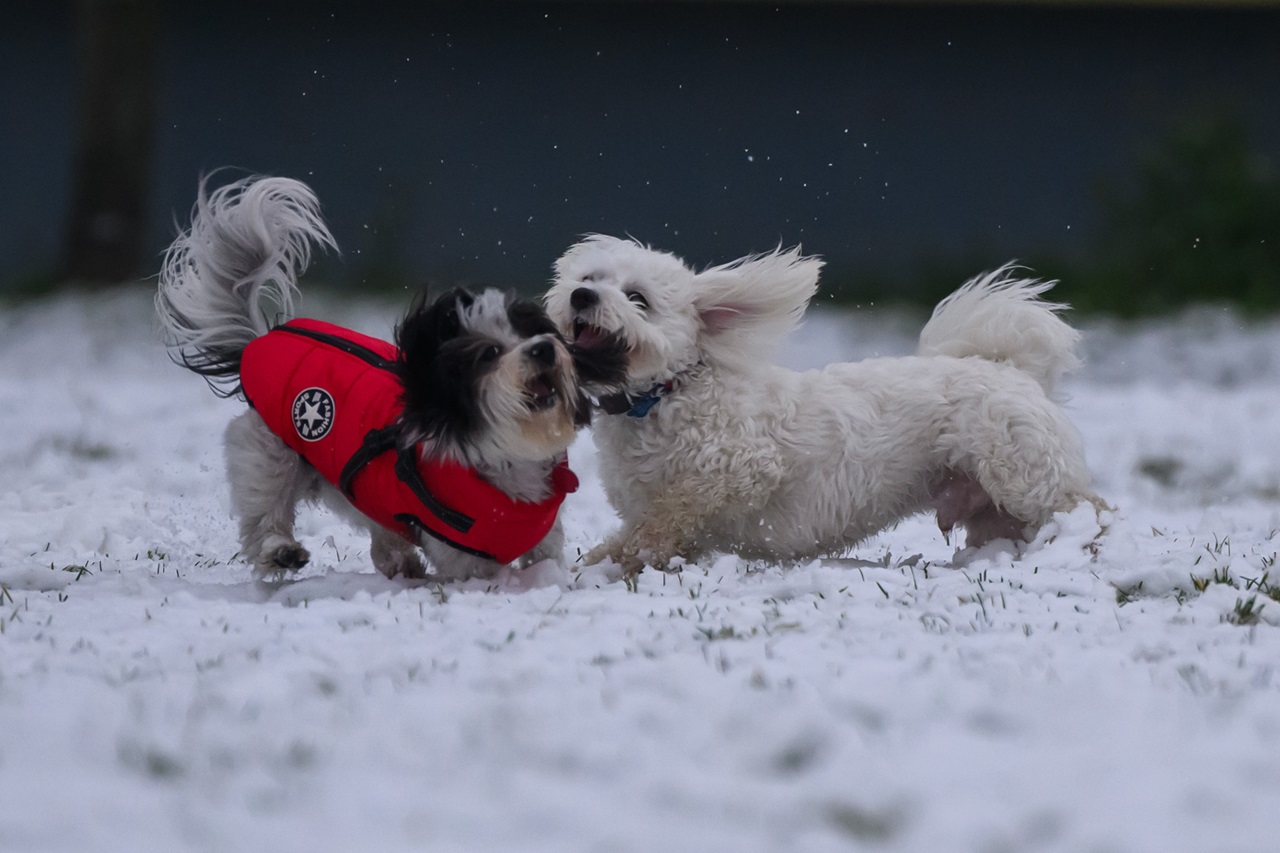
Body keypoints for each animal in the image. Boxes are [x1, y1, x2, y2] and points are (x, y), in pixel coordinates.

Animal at [545, 233, 1095, 571]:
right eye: (590, 279)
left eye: (638, 299)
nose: (581, 297)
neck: (665, 396)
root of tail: (1013, 369)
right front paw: (601, 563)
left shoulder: (741, 466)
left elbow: (672, 512)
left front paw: (627, 558)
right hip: (993, 508)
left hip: (1022, 472)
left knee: (1086, 507)